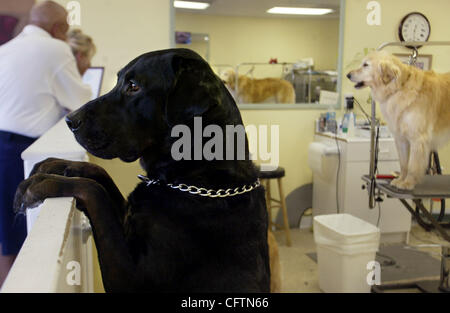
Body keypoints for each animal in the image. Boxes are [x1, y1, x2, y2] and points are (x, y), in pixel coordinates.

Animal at [14, 47, 268, 292]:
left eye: (134, 87)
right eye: (118, 81)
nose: (70, 120)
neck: (196, 178)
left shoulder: (133, 279)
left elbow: (95, 193)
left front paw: (41, 184)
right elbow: (99, 175)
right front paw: (55, 165)